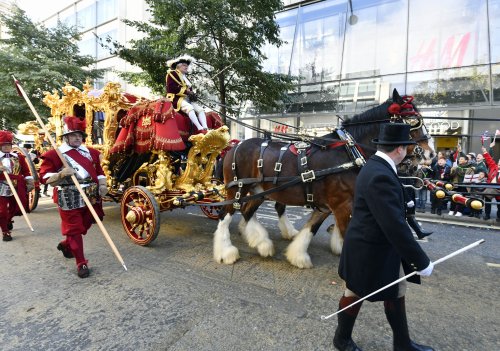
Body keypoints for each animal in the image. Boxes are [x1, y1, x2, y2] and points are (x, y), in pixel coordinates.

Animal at [213, 89, 436, 268]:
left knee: (246, 212)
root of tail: (234, 146)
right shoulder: (342, 204)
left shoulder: (328, 205)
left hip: (259, 191)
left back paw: (261, 243)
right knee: (226, 215)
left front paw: (298, 256)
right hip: (237, 190)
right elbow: (344, 234)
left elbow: (312, 227)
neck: (349, 152)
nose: (431, 154)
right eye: (413, 120)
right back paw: (226, 252)